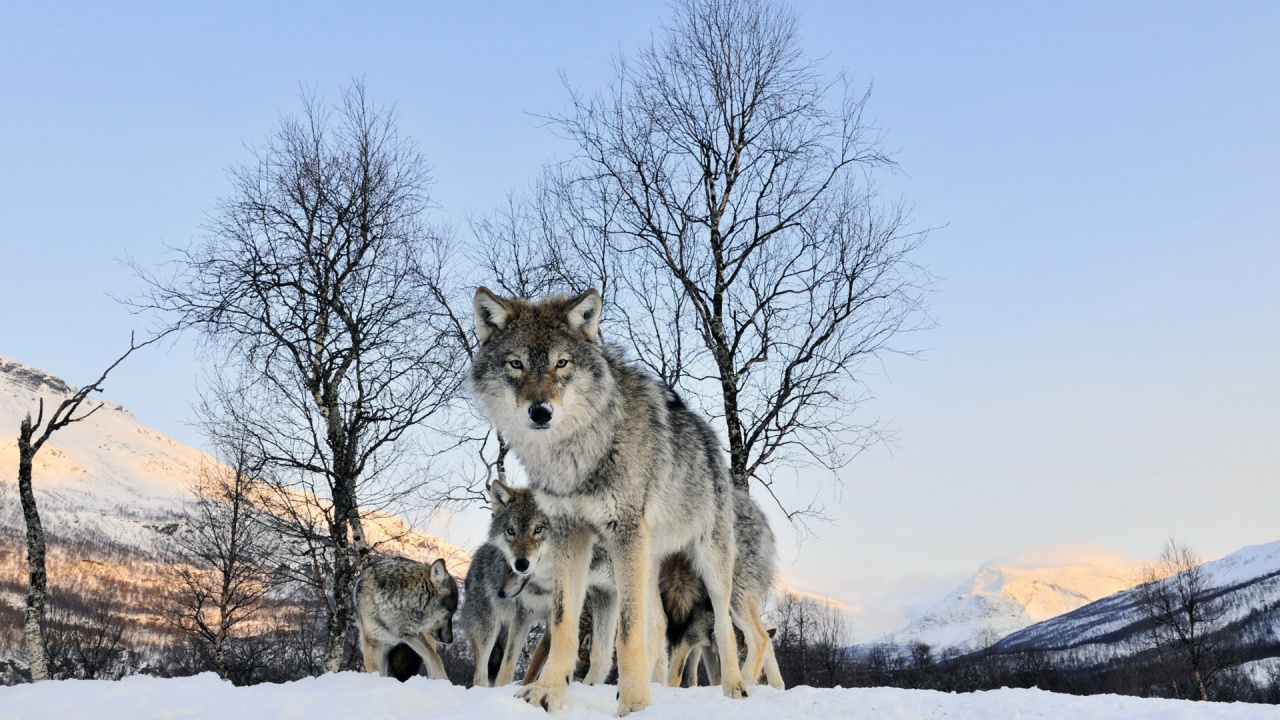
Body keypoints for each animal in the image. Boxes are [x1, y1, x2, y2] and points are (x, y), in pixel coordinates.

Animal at [460, 480, 617, 687]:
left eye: (538, 529)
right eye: (511, 532)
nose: (500, 592)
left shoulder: (553, 625)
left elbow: (535, 666)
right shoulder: (523, 616)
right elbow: (509, 666)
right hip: (488, 629)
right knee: (480, 674)